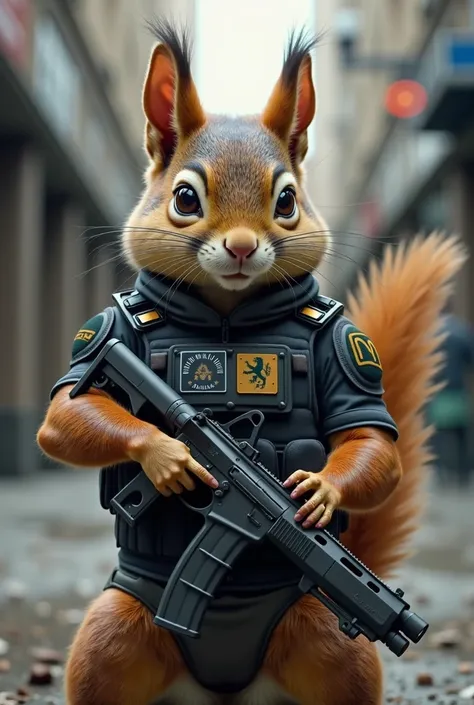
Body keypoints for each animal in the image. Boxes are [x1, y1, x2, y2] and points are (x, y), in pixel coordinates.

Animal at [37, 19, 466, 704]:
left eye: (286, 202)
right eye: (185, 198)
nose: (241, 247)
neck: (226, 314)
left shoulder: (347, 344)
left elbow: (370, 439)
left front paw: (317, 493)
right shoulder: (107, 337)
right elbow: (60, 416)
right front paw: (169, 457)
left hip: (321, 633)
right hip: (118, 622)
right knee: (109, 644)